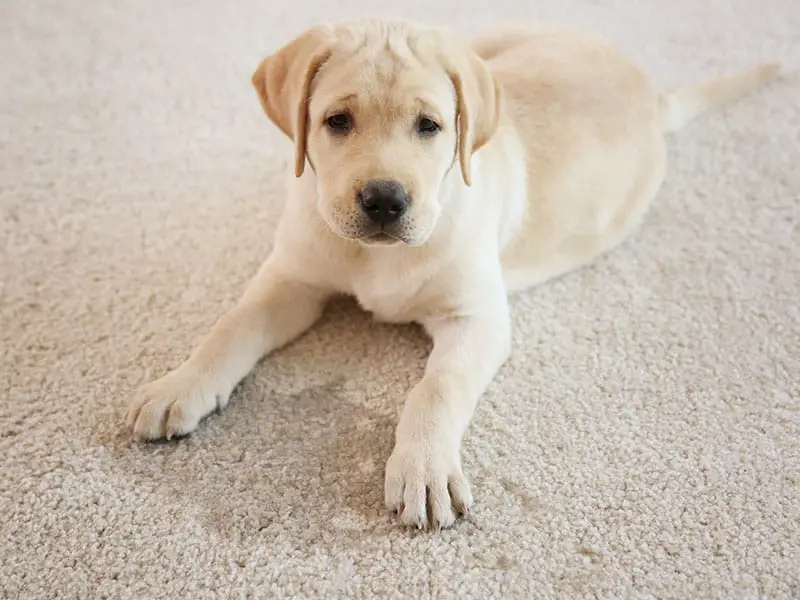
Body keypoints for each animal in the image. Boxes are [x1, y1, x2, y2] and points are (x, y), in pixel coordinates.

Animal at [126, 16, 780, 528]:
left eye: (430, 126)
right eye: (337, 122)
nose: (385, 200)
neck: (378, 256)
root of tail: (651, 91)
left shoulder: (477, 319)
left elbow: (437, 388)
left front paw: (423, 468)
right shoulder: (291, 279)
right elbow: (230, 327)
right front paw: (181, 383)